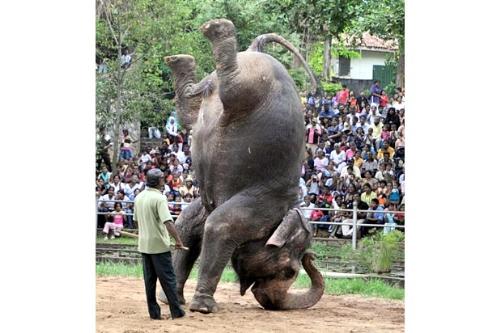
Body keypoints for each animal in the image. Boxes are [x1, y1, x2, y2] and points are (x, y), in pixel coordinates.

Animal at [160, 18, 324, 312]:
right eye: (290, 271)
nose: (312, 257)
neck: (289, 208)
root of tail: (255, 49)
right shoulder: (262, 204)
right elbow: (219, 226)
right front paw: (203, 308)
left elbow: (189, 225)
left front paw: (173, 301)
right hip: (254, 85)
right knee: (230, 87)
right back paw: (217, 29)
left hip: (229, 88)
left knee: (192, 105)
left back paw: (181, 59)